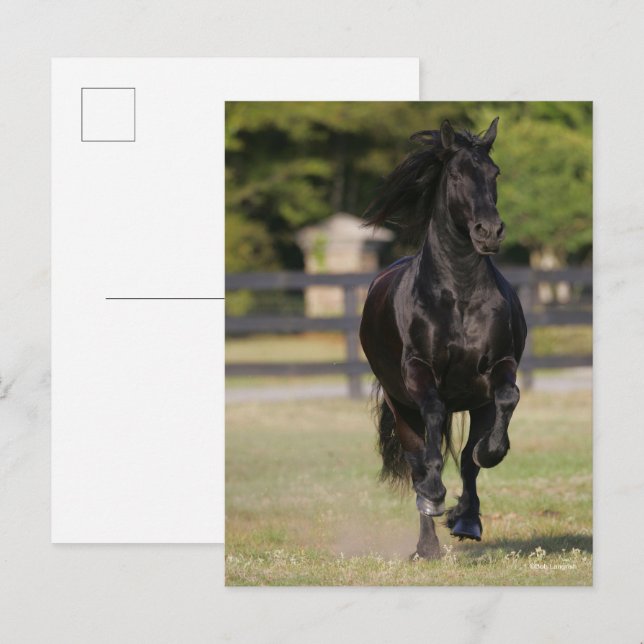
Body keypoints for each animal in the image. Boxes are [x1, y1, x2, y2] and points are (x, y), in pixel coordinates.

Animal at [359, 118, 527, 560]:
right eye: (455, 176)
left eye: (494, 173)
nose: (489, 231)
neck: (459, 295)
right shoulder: (419, 373)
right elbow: (433, 421)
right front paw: (435, 495)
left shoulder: (498, 369)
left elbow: (503, 407)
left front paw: (491, 456)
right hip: (400, 405)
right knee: (418, 459)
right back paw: (427, 540)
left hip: (476, 402)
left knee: (468, 459)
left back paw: (467, 519)